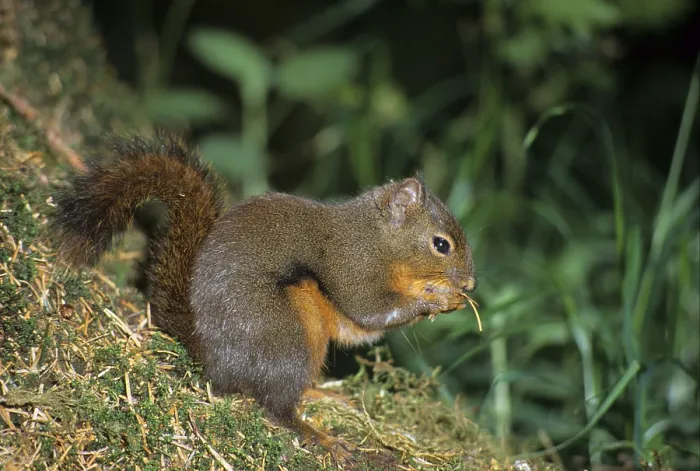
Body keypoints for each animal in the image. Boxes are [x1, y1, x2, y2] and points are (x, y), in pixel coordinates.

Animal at [53, 134, 477, 463]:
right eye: (441, 244)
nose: (471, 284)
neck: (378, 238)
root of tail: (212, 358)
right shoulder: (350, 265)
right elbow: (368, 309)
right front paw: (437, 300)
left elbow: (359, 328)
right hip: (285, 334)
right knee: (276, 406)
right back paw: (319, 435)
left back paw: (323, 393)